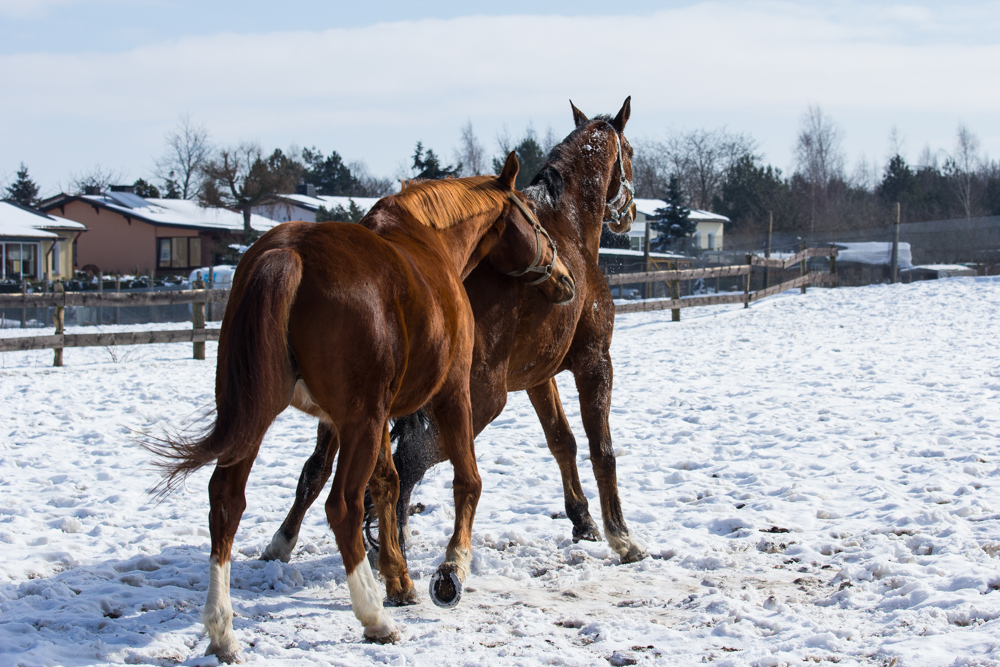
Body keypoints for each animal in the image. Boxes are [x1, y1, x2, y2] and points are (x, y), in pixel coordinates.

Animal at [145, 155, 576, 664]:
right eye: (535, 221)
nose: (565, 278)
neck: (430, 241)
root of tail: (290, 253)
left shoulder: (371, 415)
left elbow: (387, 485)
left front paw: (399, 579)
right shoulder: (449, 394)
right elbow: (466, 481)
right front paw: (449, 569)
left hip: (261, 416)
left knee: (226, 501)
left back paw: (222, 631)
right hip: (359, 421)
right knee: (342, 507)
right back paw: (373, 619)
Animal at [262, 96, 644, 588]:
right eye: (629, 151)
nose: (629, 215)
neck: (567, 226)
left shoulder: (537, 377)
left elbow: (562, 441)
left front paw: (583, 520)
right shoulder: (595, 362)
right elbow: (602, 451)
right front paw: (621, 537)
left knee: (320, 468)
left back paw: (287, 542)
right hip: (478, 399)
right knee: (407, 465)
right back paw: (406, 557)